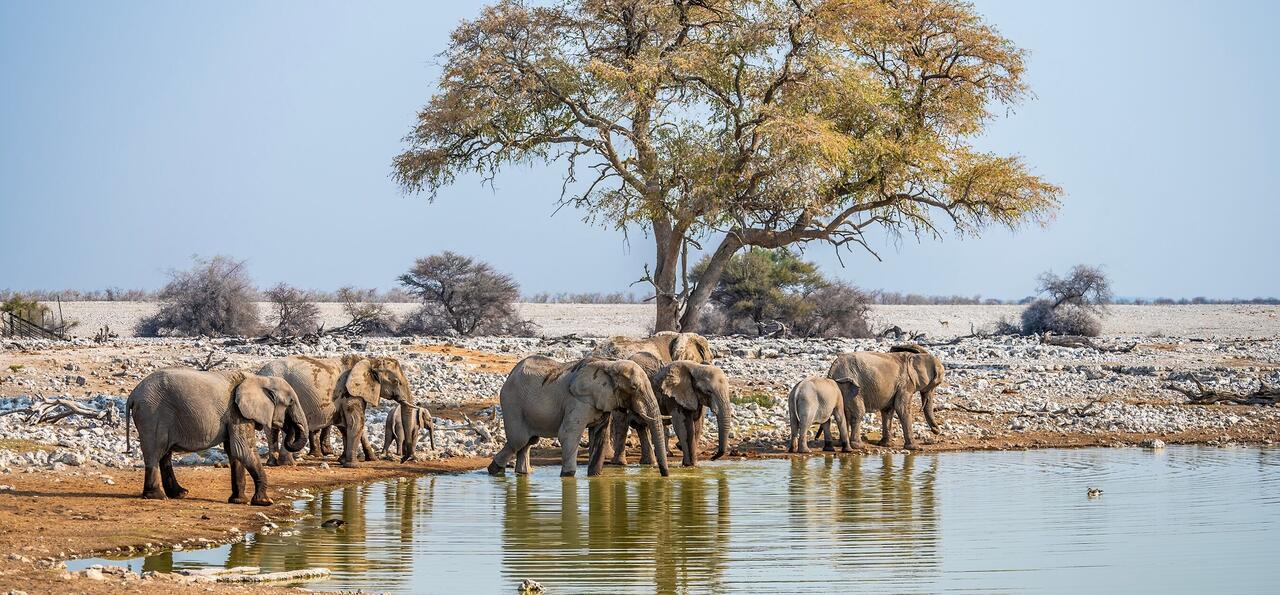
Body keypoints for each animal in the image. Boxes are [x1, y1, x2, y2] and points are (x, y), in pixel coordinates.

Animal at [125, 368, 308, 505]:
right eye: (291, 402)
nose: (289, 428)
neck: (259, 379)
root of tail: (132, 395)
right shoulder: (237, 412)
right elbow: (243, 450)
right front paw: (265, 502)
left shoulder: (235, 414)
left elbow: (234, 452)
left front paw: (239, 501)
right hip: (152, 414)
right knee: (155, 451)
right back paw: (158, 497)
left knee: (165, 454)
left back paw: (179, 494)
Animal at [258, 355, 416, 467]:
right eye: (396, 382)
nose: (402, 460)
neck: (369, 361)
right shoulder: (351, 393)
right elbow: (356, 423)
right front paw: (353, 465)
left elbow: (345, 425)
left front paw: (344, 461)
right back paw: (288, 464)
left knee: (271, 430)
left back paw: (273, 463)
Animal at [488, 356, 670, 478]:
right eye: (633, 388)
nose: (664, 474)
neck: (610, 364)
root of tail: (511, 374)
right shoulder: (578, 400)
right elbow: (568, 435)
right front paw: (567, 476)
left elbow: (599, 436)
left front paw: (594, 477)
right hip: (511, 403)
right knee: (519, 441)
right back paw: (494, 471)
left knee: (528, 442)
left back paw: (520, 473)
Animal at [599, 352, 734, 467]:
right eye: (708, 391)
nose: (712, 457)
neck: (696, 367)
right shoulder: (673, 397)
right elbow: (682, 426)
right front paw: (690, 465)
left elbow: (696, 426)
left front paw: (693, 465)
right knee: (622, 422)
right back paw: (619, 463)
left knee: (642, 426)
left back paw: (648, 464)